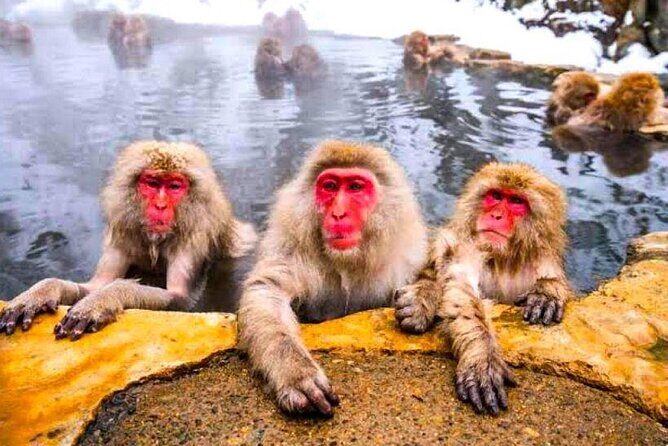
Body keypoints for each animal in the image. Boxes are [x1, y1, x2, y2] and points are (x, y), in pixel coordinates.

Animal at [0, 141, 256, 340]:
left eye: (175, 186)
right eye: (152, 184)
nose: (160, 206)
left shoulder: (194, 238)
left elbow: (182, 301)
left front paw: (104, 299)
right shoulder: (123, 233)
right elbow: (94, 285)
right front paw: (40, 292)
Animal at [238, 140, 428, 416]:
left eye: (356, 187)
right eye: (330, 186)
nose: (338, 214)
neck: (346, 262)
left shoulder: (408, 257)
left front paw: (422, 300)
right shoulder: (292, 250)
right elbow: (268, 291)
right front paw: (295, 372)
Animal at [394, 162, 573, 415]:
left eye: (516, 201)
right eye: (496, 196)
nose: (496, 215)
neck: (503, 260)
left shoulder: (542, 258)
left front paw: (546, 292)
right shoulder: (468, 247)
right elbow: (462, 289)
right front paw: (483, 358)